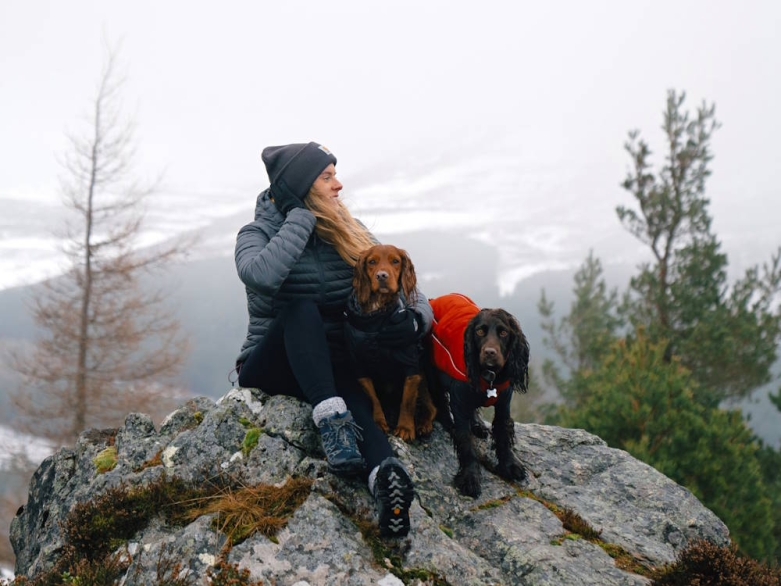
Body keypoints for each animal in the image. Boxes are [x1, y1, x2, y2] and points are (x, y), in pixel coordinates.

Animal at [344, 242, 436, 438]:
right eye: (372, 262)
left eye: (395, 261)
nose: (381, 276)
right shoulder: (359, 365)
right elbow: (373, 398)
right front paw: (379, 421)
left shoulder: (411, 366)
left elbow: (407, 402)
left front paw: (405, 428)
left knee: (431, 407)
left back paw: (423, 424)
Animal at [426, 290, 532, 492]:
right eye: (480, 331)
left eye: (504, 332)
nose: (490, 352)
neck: (490, 377)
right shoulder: (459, 402)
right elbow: (466, 442)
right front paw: (470, 477)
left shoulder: (503, 403)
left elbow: (503, 434)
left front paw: (510, 464)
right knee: (441, 401)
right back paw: (448, 423)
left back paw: (478, 425)